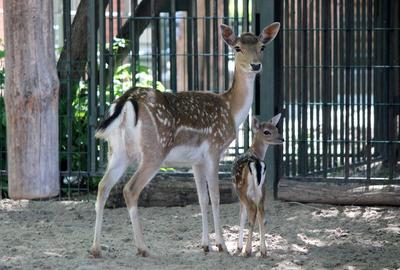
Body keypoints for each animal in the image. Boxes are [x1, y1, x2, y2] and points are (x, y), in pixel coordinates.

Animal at [231, 114, 284, 258]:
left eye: (276, 129)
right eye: (267, 131)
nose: (282, 138)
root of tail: (256, 163)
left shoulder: (239, 194)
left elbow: (241, 216)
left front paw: (239, 247)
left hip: (242, 189)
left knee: (252, 213)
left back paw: (247, 250)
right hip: (263, 189)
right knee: (262, 214)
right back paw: (264, 250)